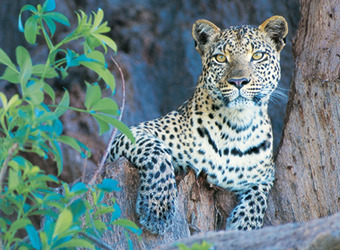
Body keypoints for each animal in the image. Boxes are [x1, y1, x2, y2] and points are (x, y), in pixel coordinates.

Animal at [108, 15, 286, 234]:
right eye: (220, 58)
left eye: (258, 56)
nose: (239, 81)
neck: (235, 126)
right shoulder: (130, 133)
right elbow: (157, 152)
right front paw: (158, 207)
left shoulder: (265, 173)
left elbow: (259, 195)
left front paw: (244, 226)